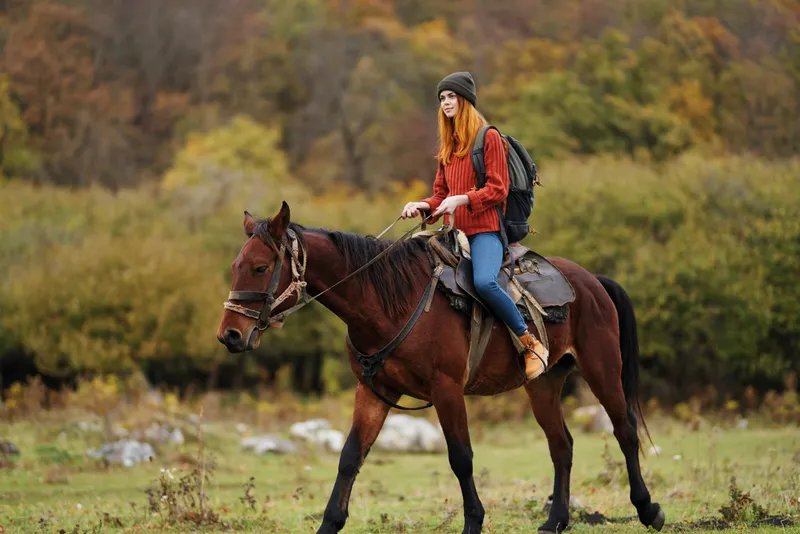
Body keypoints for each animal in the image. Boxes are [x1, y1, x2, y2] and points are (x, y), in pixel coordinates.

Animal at [216, 202, 664, 534]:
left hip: (602, 369)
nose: (230, 335)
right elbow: (350, 457)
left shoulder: (447, 390)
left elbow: (460, 457)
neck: (388, 302)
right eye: (236, 265)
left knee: (624, 431)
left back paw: (648, 510)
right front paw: (330, 523)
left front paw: (474, 522)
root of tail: (592, 281)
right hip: (543, 384)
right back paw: (555, 521)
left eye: (260, 267)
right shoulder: (374, 392)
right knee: (562, 445)